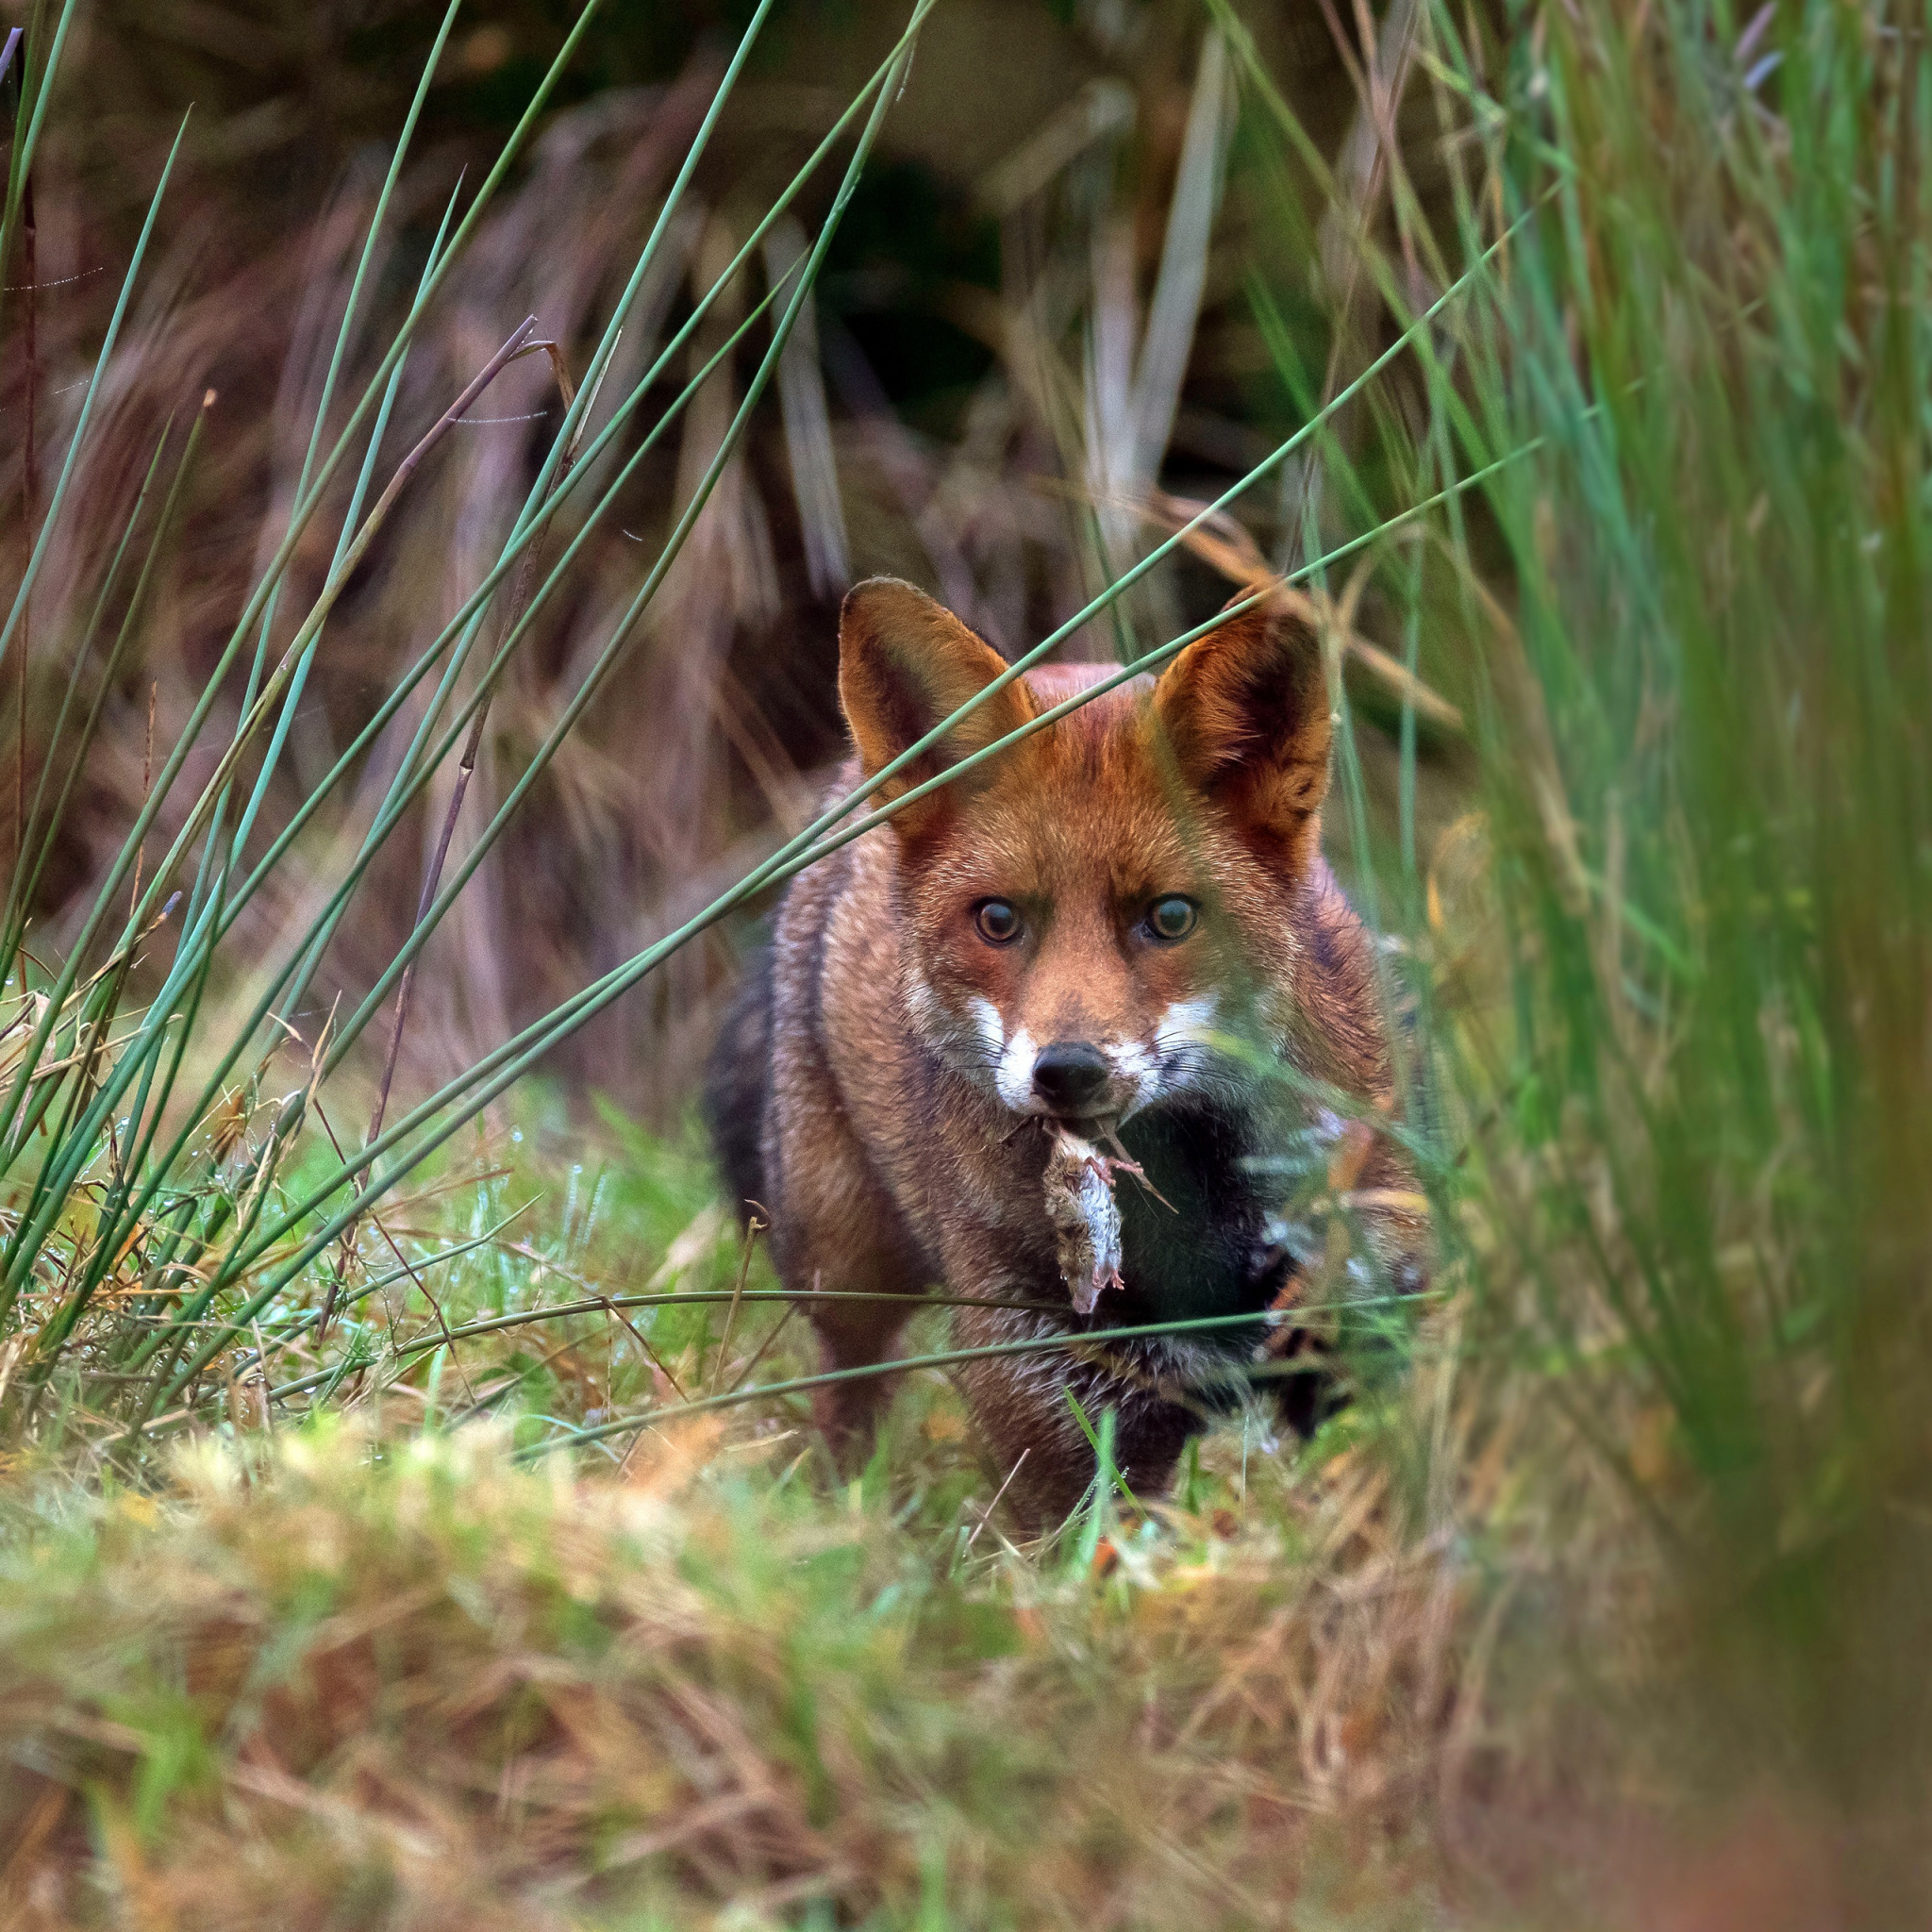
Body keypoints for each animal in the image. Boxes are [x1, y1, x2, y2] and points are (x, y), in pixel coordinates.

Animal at [703, 572, 1429, 1522]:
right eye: (998, 920)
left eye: (1170, 917)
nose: (1067, 1069)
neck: (1192, 1224)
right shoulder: (1048, 1371)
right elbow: (1091, 1527)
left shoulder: (1382, 1215)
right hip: (841, 1257)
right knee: (845, 1382)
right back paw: (842, 1515)